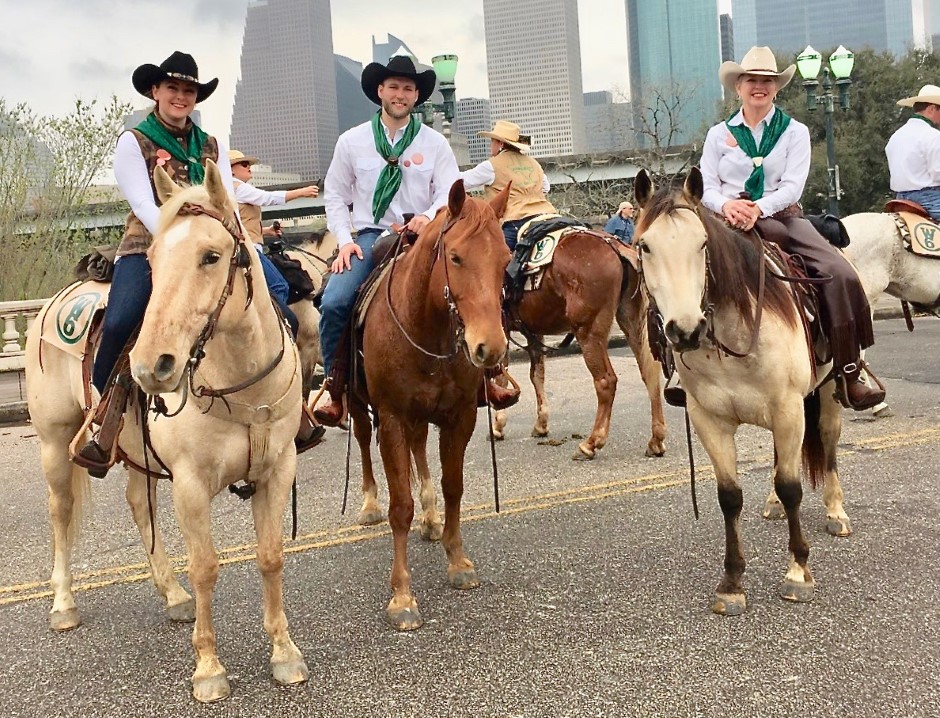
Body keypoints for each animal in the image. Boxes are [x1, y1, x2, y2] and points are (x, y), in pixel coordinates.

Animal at [24, 162, 308, 704]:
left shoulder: (277, 469)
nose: (151, 366)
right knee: (60, 512)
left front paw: (284, 653)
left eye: (211, 256)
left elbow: (270, 557)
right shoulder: (191, 484)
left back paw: (172, 593)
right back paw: (64, 603)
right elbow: (206, 567)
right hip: (53, 444)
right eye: (153, 259)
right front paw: (209, 669)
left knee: (138, 501)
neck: (240, 380)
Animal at [346, 180, 510, 632]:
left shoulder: (460, 416)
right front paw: (402, 596)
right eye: (455, 257)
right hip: (357, 405)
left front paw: (457, 560)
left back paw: (431, 517)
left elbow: (454, 486)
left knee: (420, 450)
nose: (489, 348)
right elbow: (399, 505)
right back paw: (369, 504)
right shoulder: (390, 418)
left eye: (505, 259)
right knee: (363, 441)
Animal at [492, 221, 668, 462]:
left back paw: (591, 443)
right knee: (649, 375)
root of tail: (615, 247)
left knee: (606, 381)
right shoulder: (533, 333)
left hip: (589, 332)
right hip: (632, 324)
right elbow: (537, 375)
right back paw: (656, 440)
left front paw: (498, 425)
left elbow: (501, 378)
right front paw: (541, 424)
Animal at [636, 166, 848, 616]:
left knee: (828, 443)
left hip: (828, 390)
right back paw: (772, 505)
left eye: (702, 243)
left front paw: (798, 573)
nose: (686, 330)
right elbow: (730, 496)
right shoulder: (709, 419)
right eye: (644, 245)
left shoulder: (788, 408)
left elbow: (792, 487)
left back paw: (836, 511)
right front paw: (732, 582)